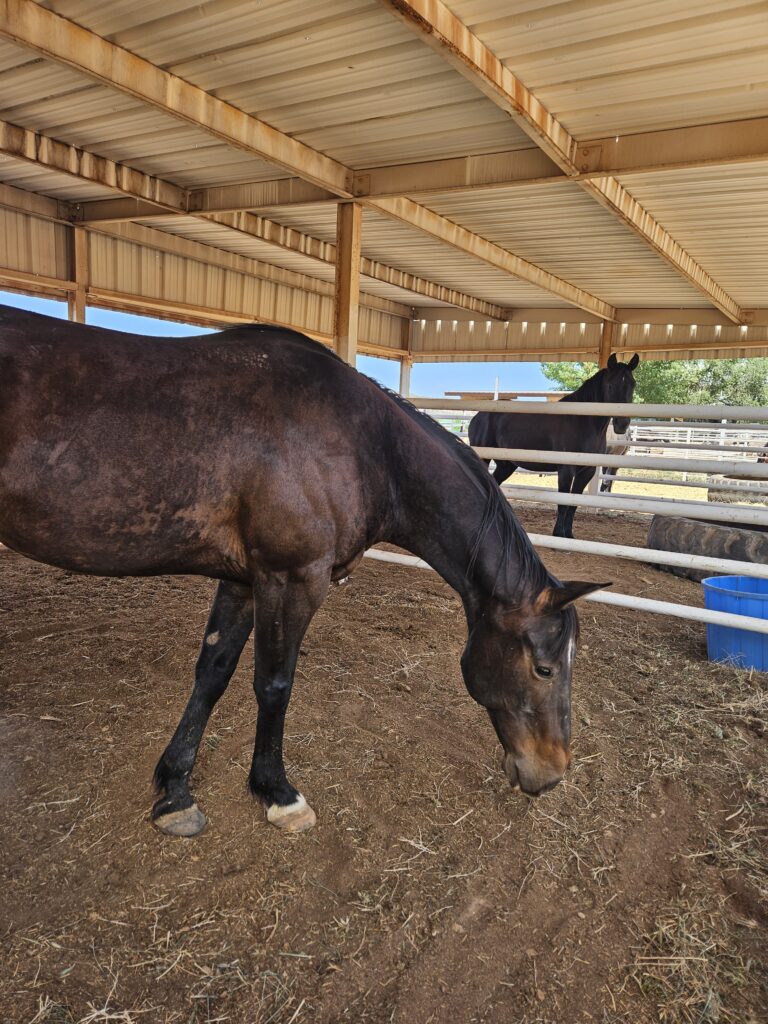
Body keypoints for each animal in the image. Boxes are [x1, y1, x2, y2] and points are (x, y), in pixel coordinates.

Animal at [0, 305, 607, 838]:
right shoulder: (291, 578)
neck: (367, 446)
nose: (552, 773)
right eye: (544, 668)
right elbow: (274, 683)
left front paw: (175, 790)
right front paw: (277, 793)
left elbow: (213, 673)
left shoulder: (244, 580)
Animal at [468, 354, 639, 538]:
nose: (622, 424)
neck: (582, 421)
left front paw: (568, 535)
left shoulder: (587, 471)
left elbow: (573, 503)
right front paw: (558, 533)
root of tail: (477, 418)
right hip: (484, 458)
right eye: (611, 384)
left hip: (506, 465)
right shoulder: (566, 470)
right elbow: (563, 502)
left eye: (633, 384)